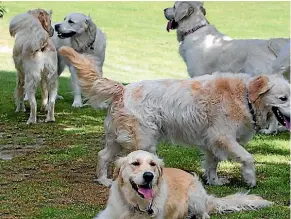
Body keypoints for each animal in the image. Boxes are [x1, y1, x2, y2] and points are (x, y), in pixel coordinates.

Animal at [58, 46, 290, 188]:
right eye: (283, 98)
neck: (245, 96)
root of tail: (122, 89)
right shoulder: (223, 137)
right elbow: (248, 157)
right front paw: (250, 180)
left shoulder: (211, 141)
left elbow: (212, 163)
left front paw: (214, 181)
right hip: (144, 140)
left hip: (117, 138)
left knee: (103, 155)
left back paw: (104, 180)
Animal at [94, 151, 274, 219]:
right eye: (135, 163)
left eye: (152, 164)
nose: (149, 176)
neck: (138, 205)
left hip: (194, 196)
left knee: (204, 215)